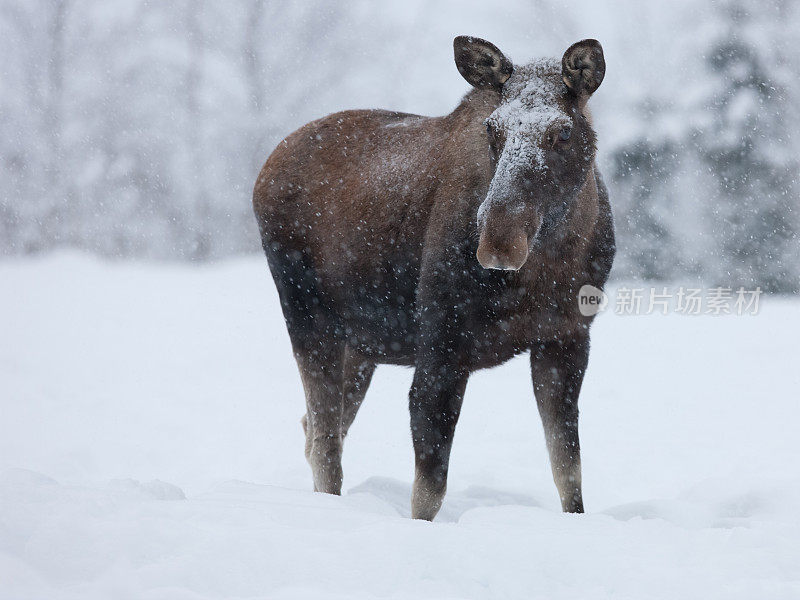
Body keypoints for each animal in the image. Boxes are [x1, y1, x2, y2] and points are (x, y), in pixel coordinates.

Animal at [253, 36, 616, 520]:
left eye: (562, 132)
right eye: (492, 130)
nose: (498, 241)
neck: (547, 272)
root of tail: (265, 170)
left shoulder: (566, 338)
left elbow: (568, 473)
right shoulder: (442, 343)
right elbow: (428, 490)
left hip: (361, 345)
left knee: (315, 431)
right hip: (307, 316)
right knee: (326, 443)